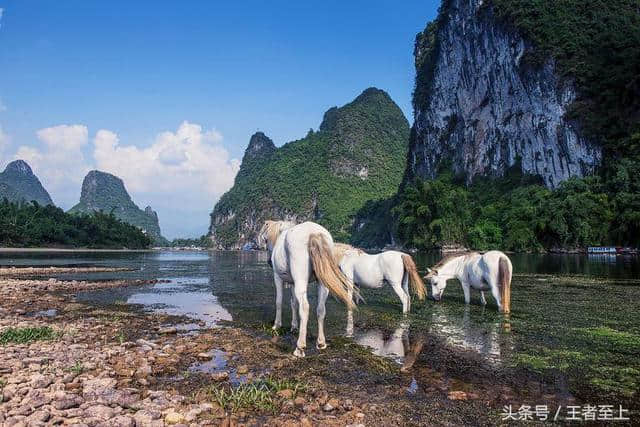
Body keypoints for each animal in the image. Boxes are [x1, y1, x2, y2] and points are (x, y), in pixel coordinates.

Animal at [258, 221, 358, 358]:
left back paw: (300, 348)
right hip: (322, 283)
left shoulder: (277, 278)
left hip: (301, 280)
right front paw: (294, 326)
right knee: (320, 309)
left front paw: (276, 325)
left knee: (305, 307)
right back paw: (321, 343)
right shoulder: (293, 283)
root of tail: (314, 233)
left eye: (266, 239)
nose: (269, 261)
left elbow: (279, 301)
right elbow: (294, 303)